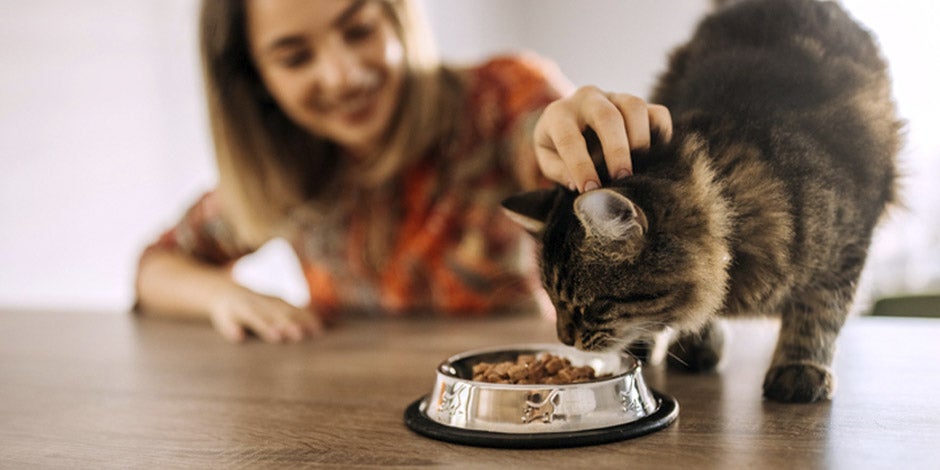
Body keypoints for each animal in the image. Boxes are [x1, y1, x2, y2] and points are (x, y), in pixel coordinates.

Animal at [504, 0, 900, 404]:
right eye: (551, 299)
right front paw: (697, 341)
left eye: (590, 305)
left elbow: (818, 313)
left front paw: (800, 368)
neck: (729, 202)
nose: (563, 338)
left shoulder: (846, 248)